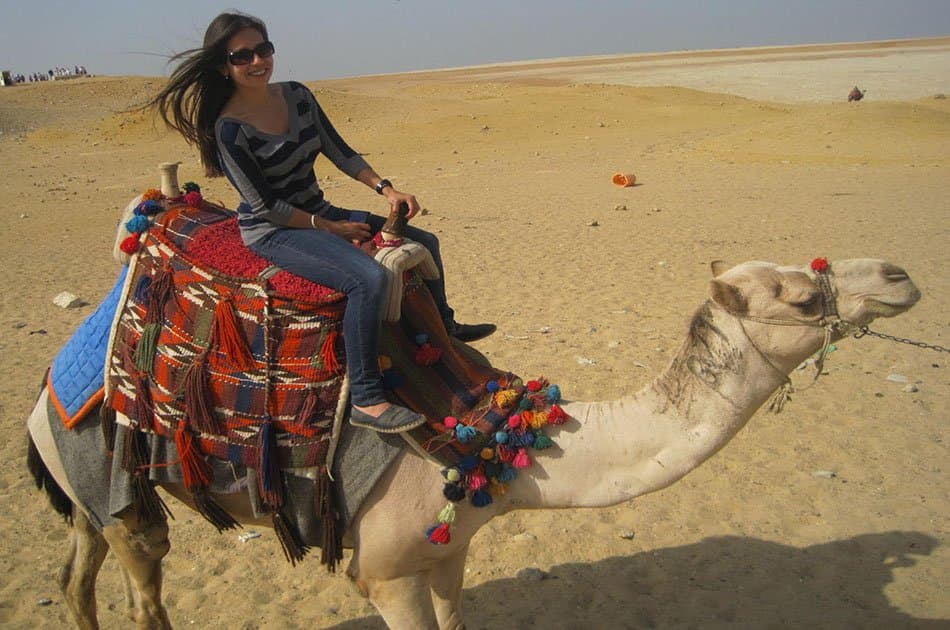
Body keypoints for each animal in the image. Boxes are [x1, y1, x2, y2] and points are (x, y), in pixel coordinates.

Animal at [26, 180, 921, 628]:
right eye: (798, 297)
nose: (901, 275)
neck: (483, 435)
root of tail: (48, 389)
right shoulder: (383, 571)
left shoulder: (450, 551)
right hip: (115, 481)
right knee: (143, 581)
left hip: (84, 487)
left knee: (75, 574)